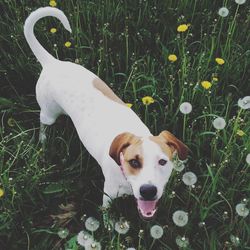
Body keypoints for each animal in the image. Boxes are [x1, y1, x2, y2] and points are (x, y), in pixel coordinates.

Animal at [23, 7, 188, 219]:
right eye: (134, 162)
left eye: (162, 162)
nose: (148, 191)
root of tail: (52, 63)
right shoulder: (108, 195)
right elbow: (107, 215)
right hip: (48, 113)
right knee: (44, 124)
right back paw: (43, 141)